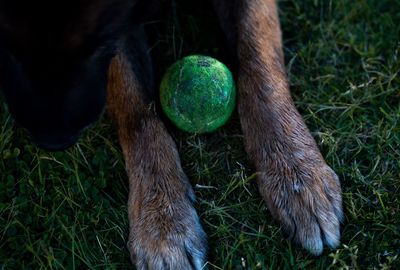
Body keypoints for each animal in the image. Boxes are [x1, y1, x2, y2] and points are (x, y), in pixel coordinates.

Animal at [0, 0, 344, 268]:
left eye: (96, 43)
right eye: (7, 45)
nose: (53, 140)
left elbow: (258, 63)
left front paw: (295, 171)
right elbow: (135, 106)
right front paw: (163, 220)